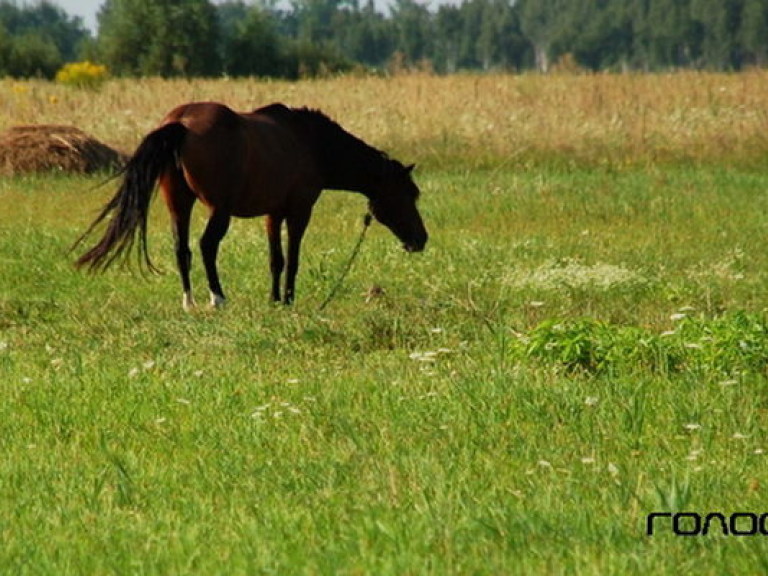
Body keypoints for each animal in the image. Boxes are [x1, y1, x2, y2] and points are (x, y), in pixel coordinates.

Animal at [75, 103, 428, 310]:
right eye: (409, 193)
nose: (421, 239)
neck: (312, 143)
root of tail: (181, 122)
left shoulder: (273, 213)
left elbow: (276, 260)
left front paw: (274, 300)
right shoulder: (299, 210)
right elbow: (293, 259)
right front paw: (288, 300)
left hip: (179, 202)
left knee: (181, 249)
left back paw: (190, 302)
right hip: (219, 209)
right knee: (206, 245)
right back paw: (217, 298)